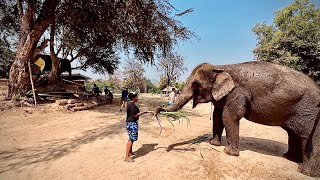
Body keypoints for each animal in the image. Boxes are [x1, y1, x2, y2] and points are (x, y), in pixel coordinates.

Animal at [155, 61, 320, 176]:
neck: (220, 66)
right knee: (294, 133)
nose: (157, 110)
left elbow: (229, 116)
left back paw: (304, 171)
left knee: (308, 137)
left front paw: (228, 152)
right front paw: (213, 144)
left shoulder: (237, 93)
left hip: (310, 111)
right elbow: (217, 115)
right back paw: (289, 158)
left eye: (196, 84)